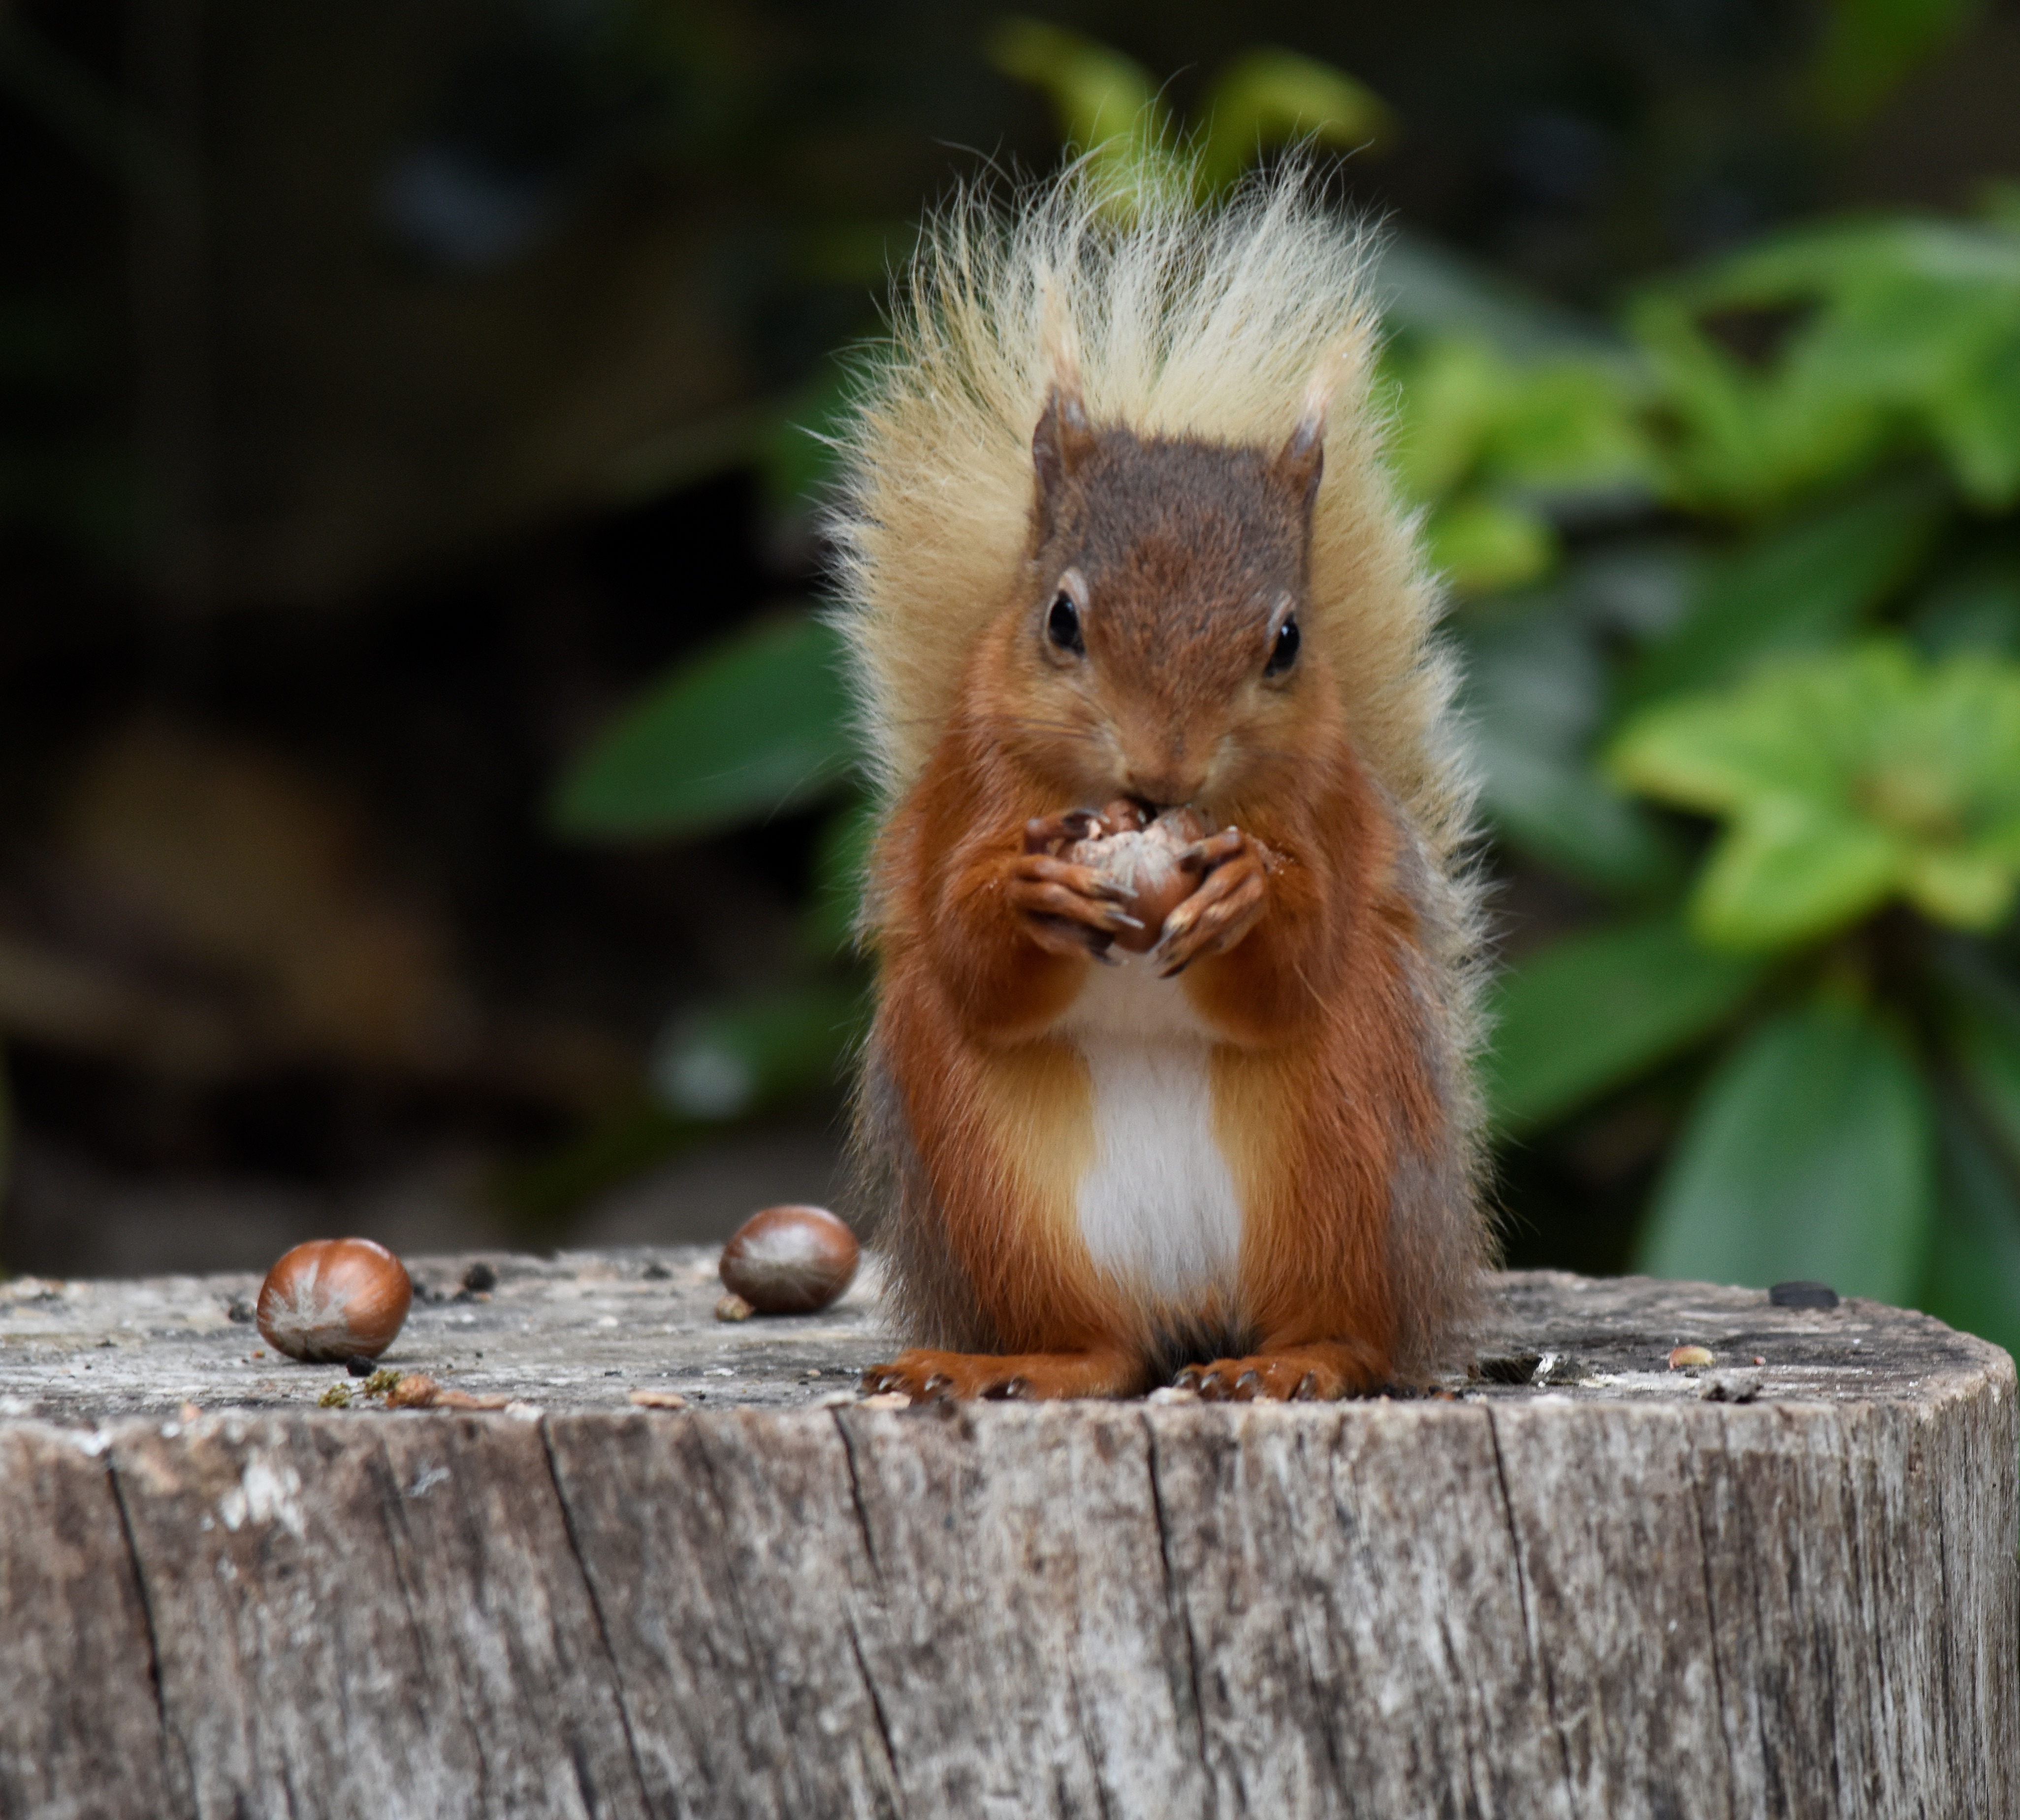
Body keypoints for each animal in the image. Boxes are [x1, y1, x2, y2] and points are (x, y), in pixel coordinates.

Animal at [824, 170, 1486, 1398]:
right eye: (1058, 621)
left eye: (1285, 642)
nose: (1159, 773)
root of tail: (1192, 1305)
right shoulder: (962, 795)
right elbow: (968, 953)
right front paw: (1022, 894)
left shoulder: (1327, 809)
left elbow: (1294, 964)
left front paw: (1250, 896)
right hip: (991, 1187)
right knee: (1105, 1348)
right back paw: (1014, 1365)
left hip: (1347, 1143)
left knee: (1345, 1328)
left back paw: (1294, 1362)